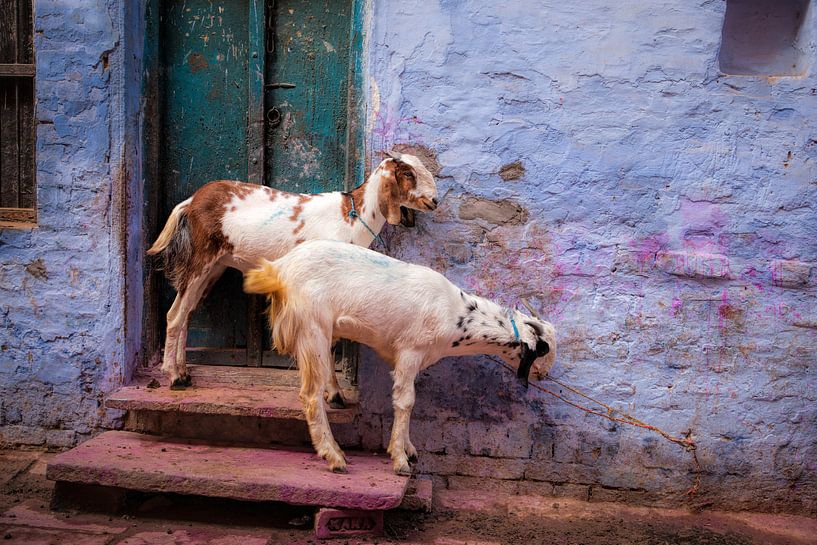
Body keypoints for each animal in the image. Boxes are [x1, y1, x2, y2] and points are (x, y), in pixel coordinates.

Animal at [147, 152, 438, 396]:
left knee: (187, 313)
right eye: (408, 173)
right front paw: (334, 394)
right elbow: (328, 343)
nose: (434, 201)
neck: (352, 218)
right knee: (175, 315)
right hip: (201, 258)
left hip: (215, 265)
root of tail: (192, 201)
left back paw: (184, 371)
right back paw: (173, 376)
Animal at [243, 240, 557, 474]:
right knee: (310, 395)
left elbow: (406, 400)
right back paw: (334, 456)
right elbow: (406, 401)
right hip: (312, 327)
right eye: (544, 350)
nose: (544, 375)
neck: (457, 315)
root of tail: (279, 269)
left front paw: (408, 448)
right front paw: (400, 459)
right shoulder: (410, 350)